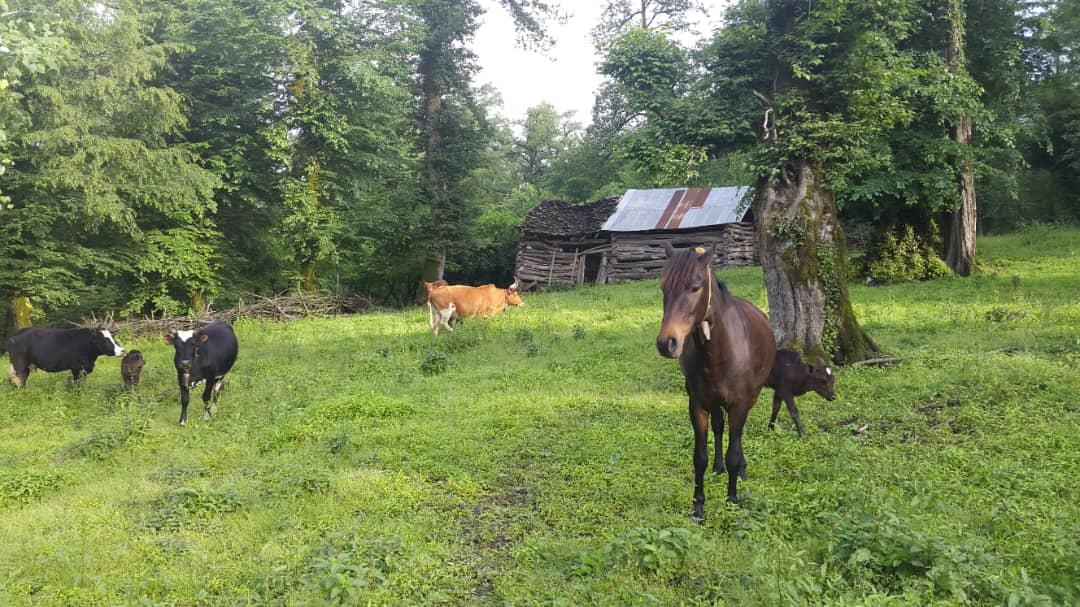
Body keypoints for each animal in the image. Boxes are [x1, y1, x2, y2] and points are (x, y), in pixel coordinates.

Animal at [652, 240, 773, 514]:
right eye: (663, 286)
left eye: (695, 287)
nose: (667, 343)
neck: (720, 351)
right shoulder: (697, 404)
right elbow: (700, 457)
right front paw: (698, 506)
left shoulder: (739, 405)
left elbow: (734, 453)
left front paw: (732, 499)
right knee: (719, 427)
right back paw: (719, 468)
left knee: (736, 437)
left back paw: (741, 471)